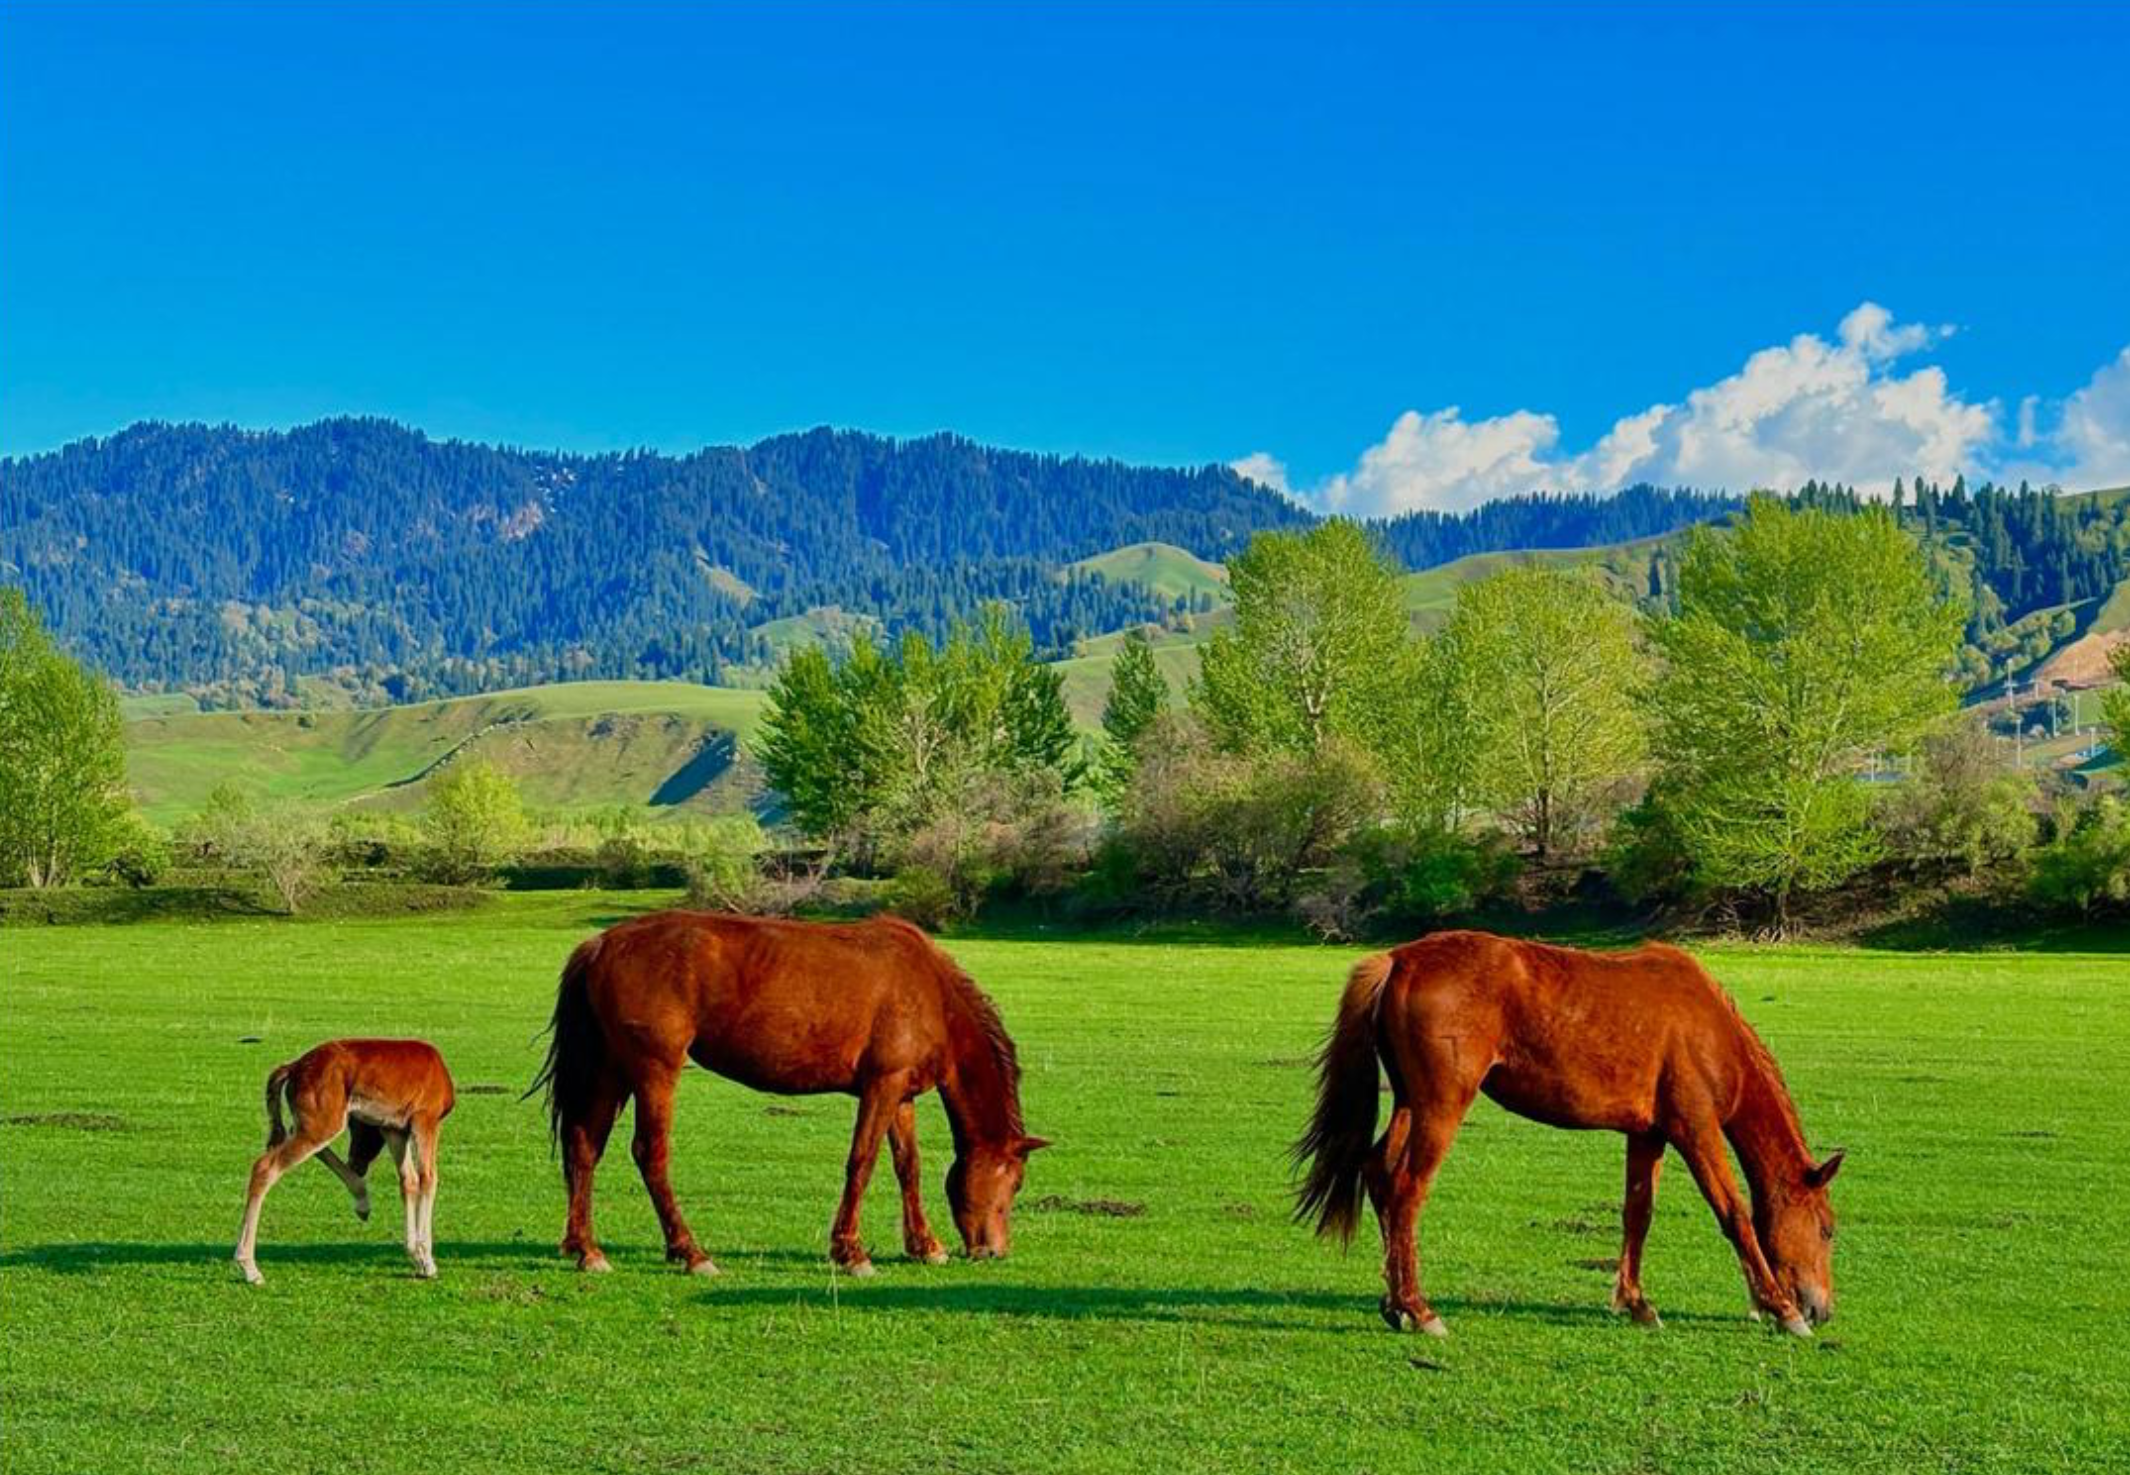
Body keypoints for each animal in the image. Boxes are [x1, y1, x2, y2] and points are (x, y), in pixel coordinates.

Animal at [234, 1038, 456, 1284]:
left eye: (358, 1129)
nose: (357, 1162)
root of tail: (294, 1067)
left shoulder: (393, 1128)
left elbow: (409, 1180)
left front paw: (415, 1256)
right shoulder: (425, 1118)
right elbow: (428, 1178)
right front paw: (427, 1261)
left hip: (322, 1121)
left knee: (301, 1138)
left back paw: (362, 1200)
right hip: (325, 1120)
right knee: (265, 1167)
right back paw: (249, 1268)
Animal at [531, 910, 1048, 1276]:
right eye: (1015, 1183)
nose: (995, 1251)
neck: (932, 992)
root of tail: (602, 944)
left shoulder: (900, 1094)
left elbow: (909, 1168)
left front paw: (924, 1245)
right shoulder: (881, 1086)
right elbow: (862, 1162)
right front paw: (851, 1252)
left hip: (609, 1070)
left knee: (584, 1147)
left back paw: (586, 1249)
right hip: (654, 1069)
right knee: (649, 1153)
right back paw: (690, 1252)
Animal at [1295, 931, 1843, 1338]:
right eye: (1826, 1229)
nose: (1822, 1309)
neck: (1709, 1030)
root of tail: (1398, 960)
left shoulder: (1648, 1134)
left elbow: (1638, 1215)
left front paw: (1636, 1303)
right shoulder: (1696, 1130)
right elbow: (1734, 1214)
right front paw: (1780, 1309)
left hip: (1410, 1103)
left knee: (1379, 1175)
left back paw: (1395, 1305)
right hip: (1440, 1108)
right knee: (1407, 1191)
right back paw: (1421, 1309)